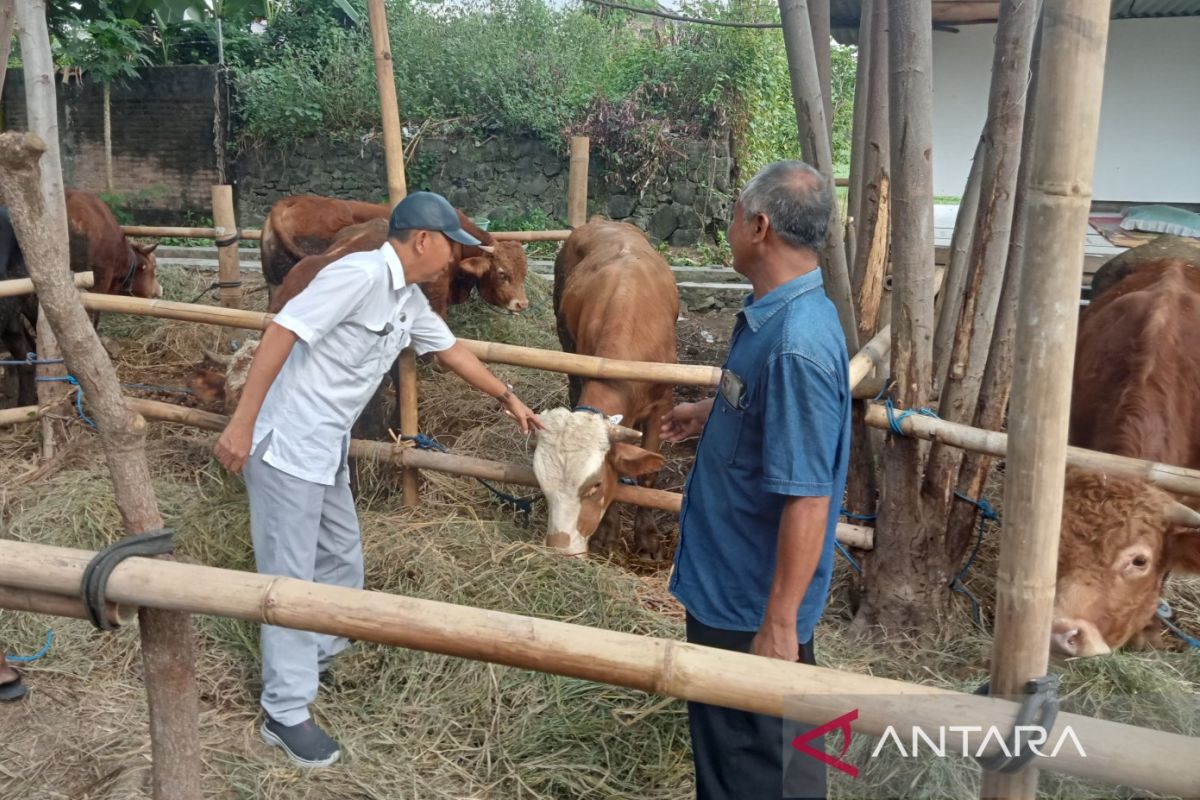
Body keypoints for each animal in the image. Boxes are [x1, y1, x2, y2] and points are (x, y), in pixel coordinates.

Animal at [532, 215, 681, 561]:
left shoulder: (661, 406)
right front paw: (607, 535)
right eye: (543, 486)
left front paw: (647, 538)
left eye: (595, 484)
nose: (560, 549)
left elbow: (647, 473)